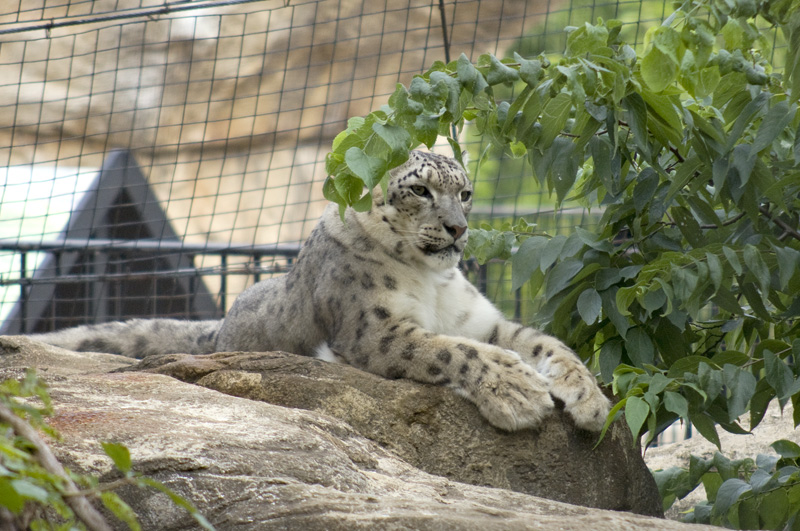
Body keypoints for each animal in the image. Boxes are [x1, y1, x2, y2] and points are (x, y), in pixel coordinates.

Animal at [28, 150, 608, 432]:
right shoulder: (376, 329)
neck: (430, 280)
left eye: (464, 192)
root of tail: (217, 332)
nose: (458, 228)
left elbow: (544, 343)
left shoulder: (482, 321)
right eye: (420, 190)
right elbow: (449, 349)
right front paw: (519, 392)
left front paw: (591, 401)